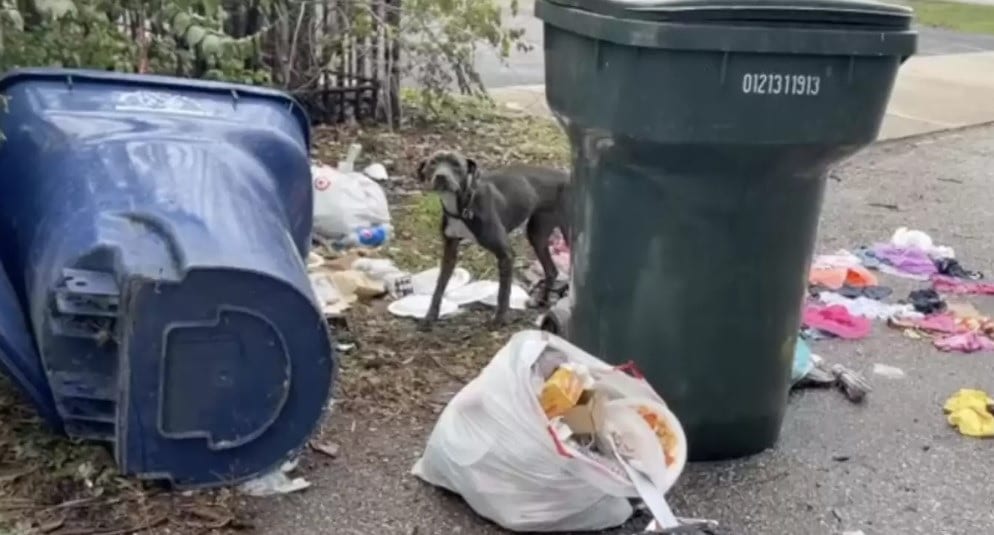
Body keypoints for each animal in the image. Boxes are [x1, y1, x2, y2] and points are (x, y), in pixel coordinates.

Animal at [414, 149, 568, 328]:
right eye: (433, 163)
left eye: (456, 164)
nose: (441, 176)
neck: (463, 207)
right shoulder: (449, 250)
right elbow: (439, 285)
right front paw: (430, 316)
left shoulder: (506, 254)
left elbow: (503, 292)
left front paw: (499, 319)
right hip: (537, 234)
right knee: (551, 270)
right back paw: (541, 301)